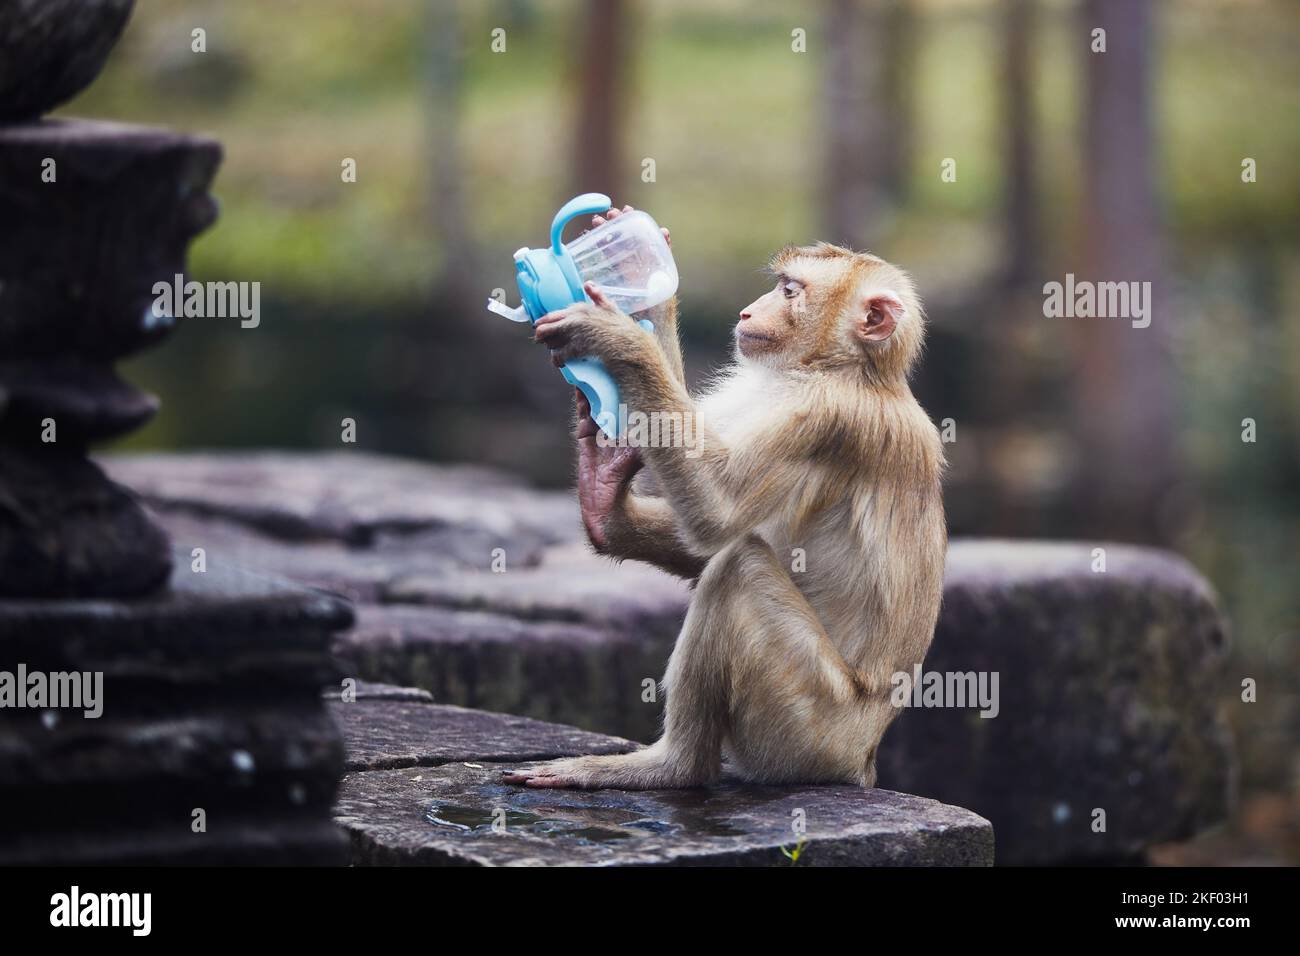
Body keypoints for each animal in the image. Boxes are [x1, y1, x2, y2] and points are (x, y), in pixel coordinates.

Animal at [502, 206, 946, 790]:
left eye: (789, 291)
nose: (748, 310)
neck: (848, 369)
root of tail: (862, 759)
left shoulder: (825, 416)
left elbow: (718, 515)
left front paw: (621, 339)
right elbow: (705, 534)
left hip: (807, 727)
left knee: (739, 569)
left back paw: (673, 766)